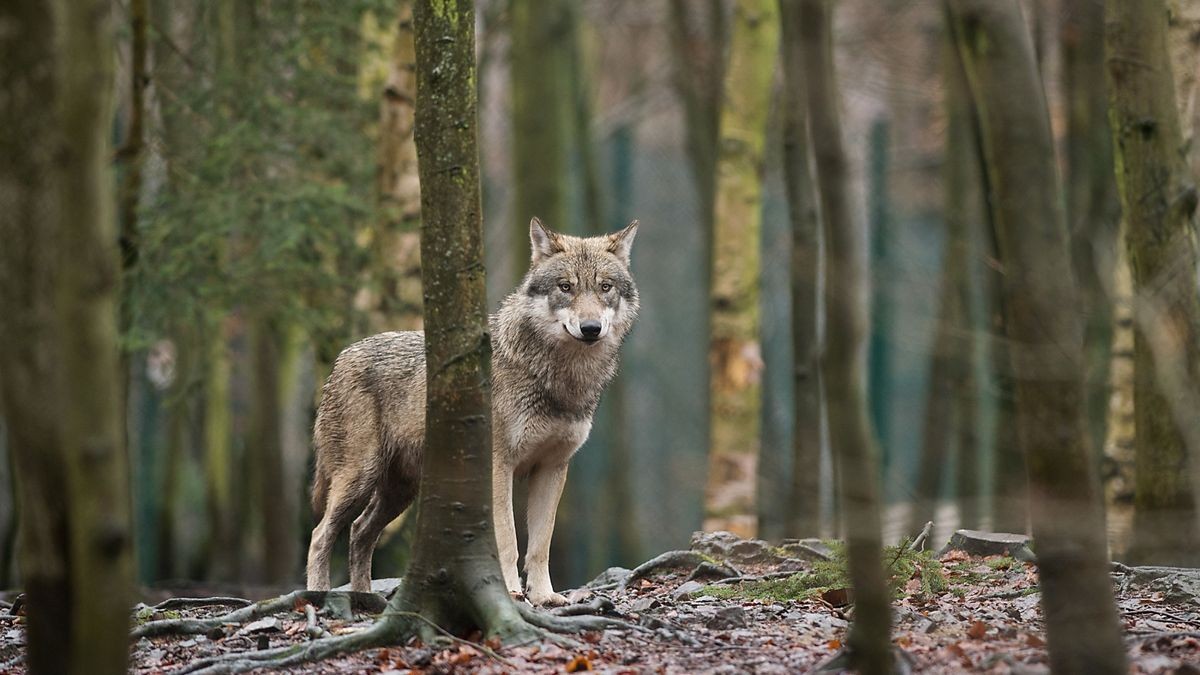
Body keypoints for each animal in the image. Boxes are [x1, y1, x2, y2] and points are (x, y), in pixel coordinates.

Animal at [307, 216, 638, 605]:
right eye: (565, 287)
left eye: (605, 287)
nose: (590, 328)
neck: (558, 378)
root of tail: (341, 358)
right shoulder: (499, 466)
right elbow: (508, 541)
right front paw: (510, 592)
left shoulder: (553, 468)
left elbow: (540, 545)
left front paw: (544, 597)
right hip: (359, 478)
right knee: (321, 534)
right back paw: (318, 596)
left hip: (400, 492)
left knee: (359, 532)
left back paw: (365, 599)